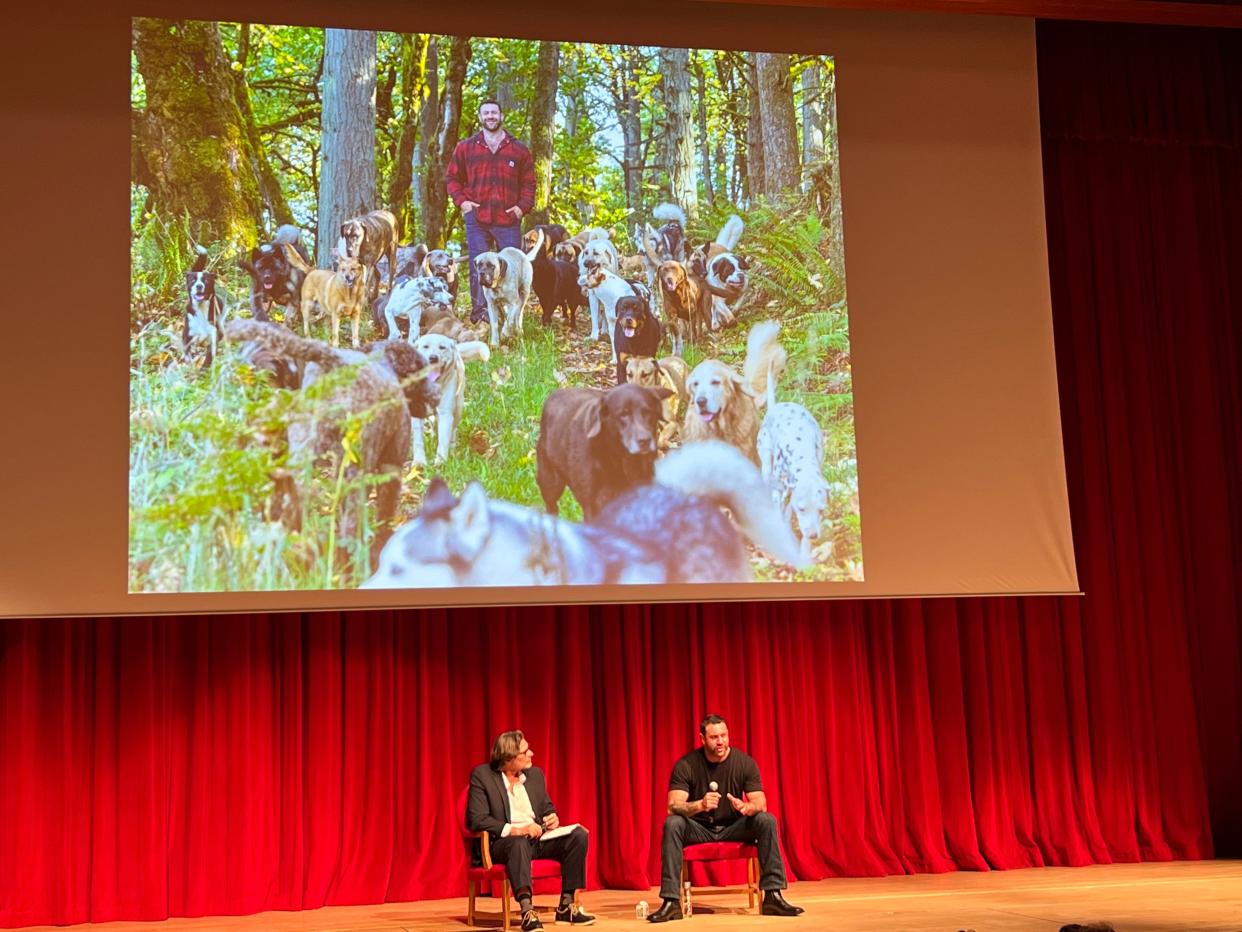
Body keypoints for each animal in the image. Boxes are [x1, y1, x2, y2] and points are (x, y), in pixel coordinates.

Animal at [412, 333, 489, 467]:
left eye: (442, 347)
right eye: (425, 346)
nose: (433, 358)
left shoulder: (445, 413)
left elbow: (443, 440)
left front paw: (440, 462)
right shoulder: (417, 411)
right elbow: (418, 441)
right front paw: (419, 463)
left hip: (458, 406)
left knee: (452, 429)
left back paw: (452, 447)